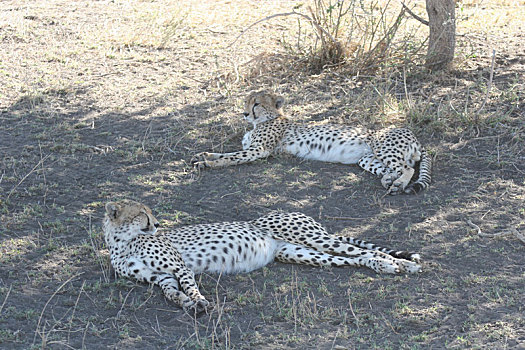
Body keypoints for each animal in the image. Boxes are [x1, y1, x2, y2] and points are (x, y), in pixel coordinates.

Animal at [103, 200, 422, 312]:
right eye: (141, 213)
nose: (157, 224)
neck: (121, 243)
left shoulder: (180, 266)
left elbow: (191, 286)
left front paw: (199, 301)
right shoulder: (162, 277)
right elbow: (170, 293)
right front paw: (185, 304)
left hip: (312, 237)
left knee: (364, 250)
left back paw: (402, 264)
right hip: (303, 253)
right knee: (354, 258)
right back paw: (387, 266)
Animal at [192, 91, 430, 196]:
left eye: (256, 104)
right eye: (246, 102)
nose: (244, 113)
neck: (264, 120)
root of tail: (414, 135)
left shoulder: (258, 150)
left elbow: (230, 157)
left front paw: (208, 163)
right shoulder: (250, 148)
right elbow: (223, 153)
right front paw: (202, 156)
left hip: (385, 148)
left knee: (408, 168)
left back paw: (399, 184)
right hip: (367, 158)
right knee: (389, 170)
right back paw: (389, 180)